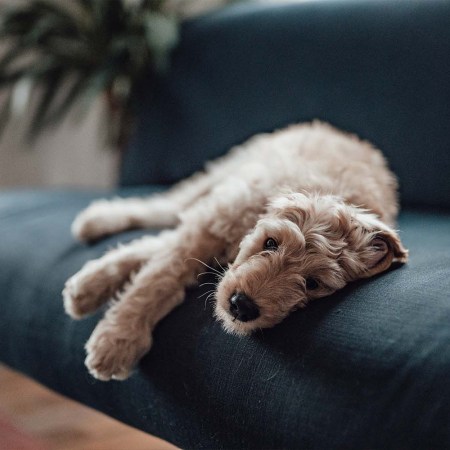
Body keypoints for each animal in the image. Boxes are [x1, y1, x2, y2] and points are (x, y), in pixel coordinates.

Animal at [62, 122, 408, 380]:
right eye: (270, 243)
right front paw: (118, 339)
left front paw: (93, 289)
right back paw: (97, 220)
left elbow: (160, 253)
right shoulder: (215, 220)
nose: (242, 306)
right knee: (168, 206)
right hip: (226, 172)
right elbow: (158, 276)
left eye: (313, 283)